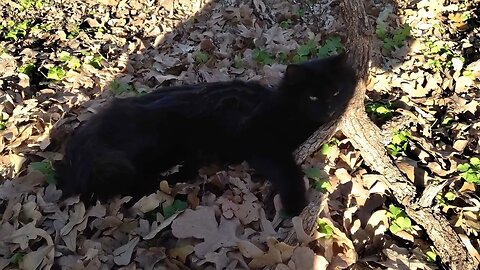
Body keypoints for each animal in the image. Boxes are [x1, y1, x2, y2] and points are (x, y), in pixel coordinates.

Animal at [56, 53, 356, 215]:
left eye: (336, 92)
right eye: (312, 96)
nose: (330, 109)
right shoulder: (258, 139)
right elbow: (288, 170)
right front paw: (296, 204)